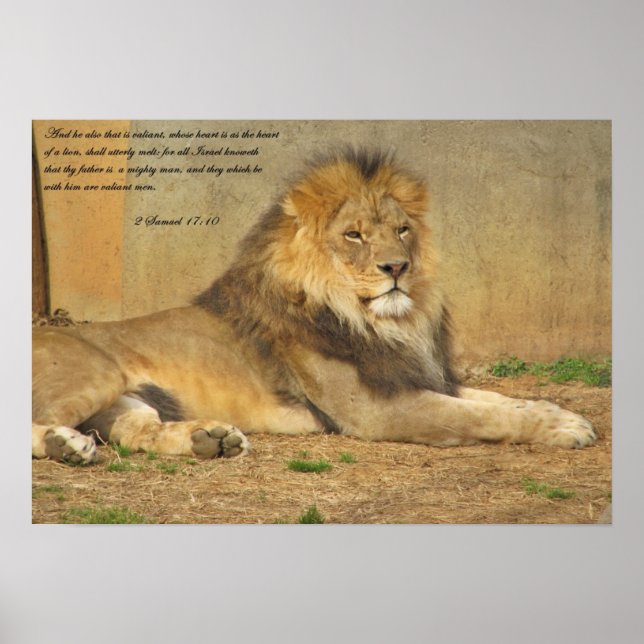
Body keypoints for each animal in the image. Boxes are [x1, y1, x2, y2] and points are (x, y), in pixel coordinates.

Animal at [32, 148, 596, 465]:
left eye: (402, 230)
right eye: (354, 235)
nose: (397, 267)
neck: (383, 321)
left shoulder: (414, 376)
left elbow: (498, 399)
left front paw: (560, 413)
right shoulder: (373, 410)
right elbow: (478, 415)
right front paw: (562, 429)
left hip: (133, 398)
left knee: (135, 431)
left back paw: (209, 440)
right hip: (96, 371)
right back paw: (66, 446)